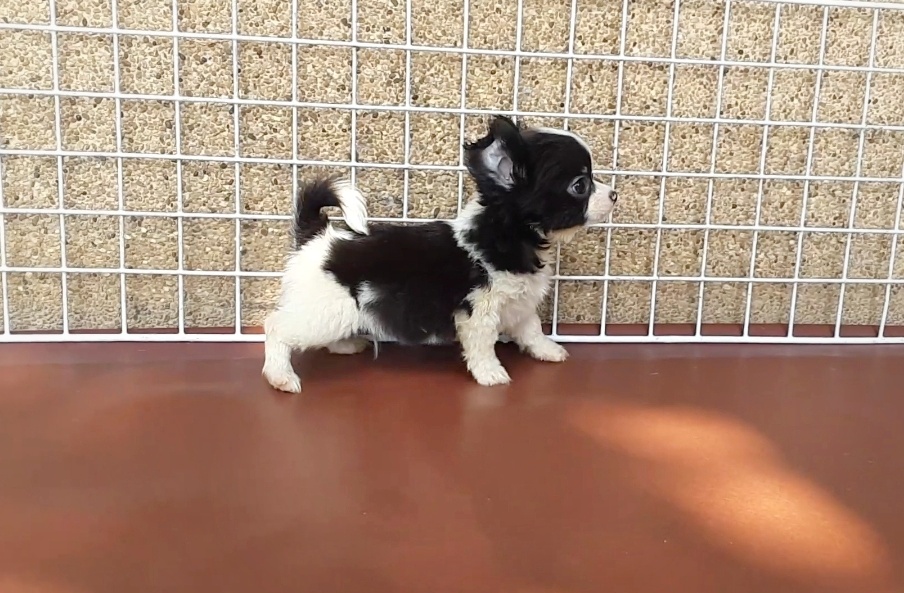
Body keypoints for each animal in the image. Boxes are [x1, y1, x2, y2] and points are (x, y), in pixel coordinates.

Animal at [262, 115, 618, 392]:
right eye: (580, 185)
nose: (614, 194)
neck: (506, 234)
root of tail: (318, 235)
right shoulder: (479, 313)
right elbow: (483, 346)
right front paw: (491, 374)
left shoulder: (519, 302)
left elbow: (531, 329)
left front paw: (548, 351)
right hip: (327, 309)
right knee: (276, 327)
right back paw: (281, 376)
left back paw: (344, 345)